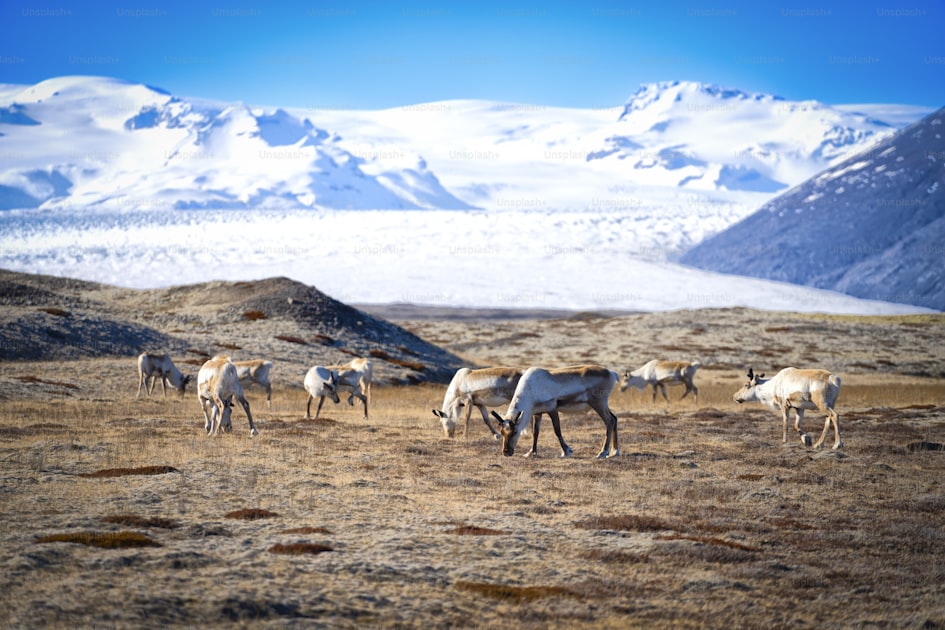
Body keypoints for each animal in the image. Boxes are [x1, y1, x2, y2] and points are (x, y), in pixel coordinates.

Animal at [491, 365, 620, 459]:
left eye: (515, 432)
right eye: (502, 432)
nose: (506, 452)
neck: (530, 389)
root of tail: (612, 373)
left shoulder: (552, 408)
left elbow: (557, 430)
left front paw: (567, 451)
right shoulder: (537, 413)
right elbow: (535, 432)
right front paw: (532, 452)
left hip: (599, 403)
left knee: (609, 421)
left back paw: (602, 452)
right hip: (602, 404)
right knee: (614, 418)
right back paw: (615, 451)